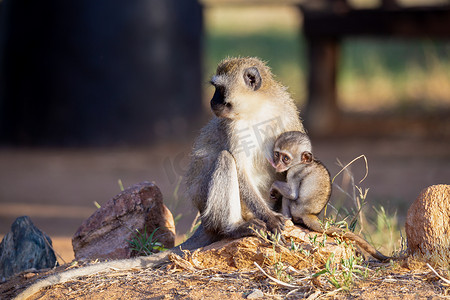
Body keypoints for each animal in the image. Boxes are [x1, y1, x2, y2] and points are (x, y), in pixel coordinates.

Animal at [268, 130, 388, 262]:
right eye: (277, 154)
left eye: (285, 158)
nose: (277, 164)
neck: (304, 163)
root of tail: (309, 214)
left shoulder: (294, 171)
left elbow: (292, 193)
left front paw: (274, 187)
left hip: (296, 209)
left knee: (287, 199)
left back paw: (287, 218)